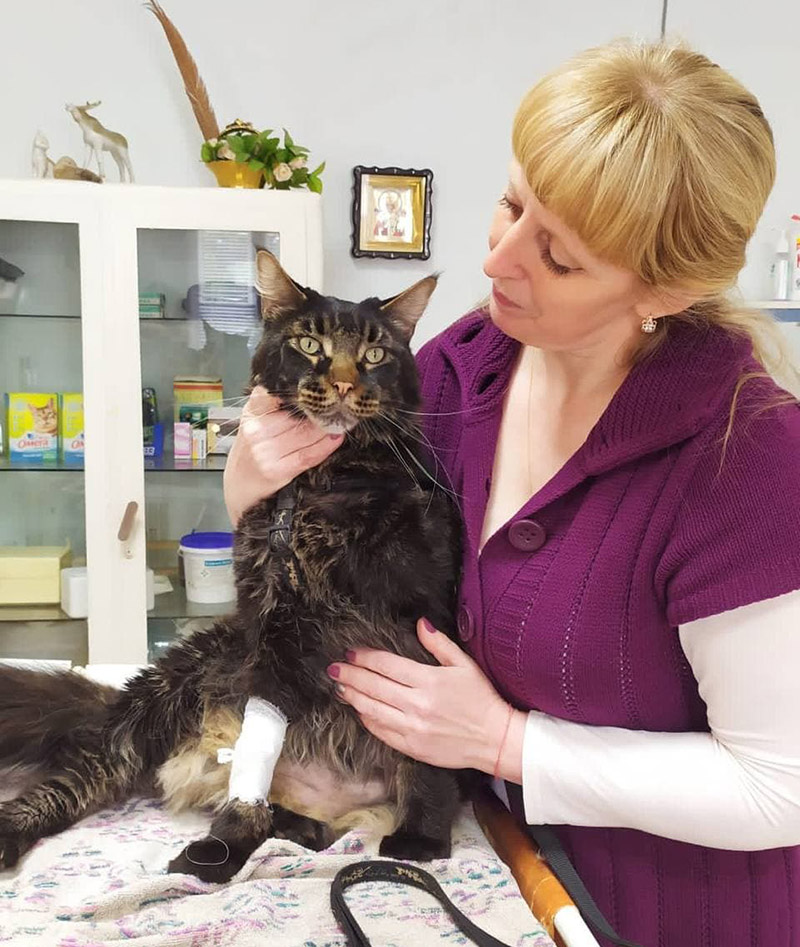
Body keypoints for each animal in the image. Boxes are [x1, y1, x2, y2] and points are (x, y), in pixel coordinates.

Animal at [0, 250, 464, 883]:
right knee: (88, 774)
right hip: (162, 696)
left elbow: (429, 752)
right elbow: (257, 755)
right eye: (310, 344)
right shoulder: (273, 620)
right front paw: (225, 843)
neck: (320, 486)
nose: (345, 383)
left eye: (375, 355)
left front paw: (423, 840)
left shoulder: (422, 612)